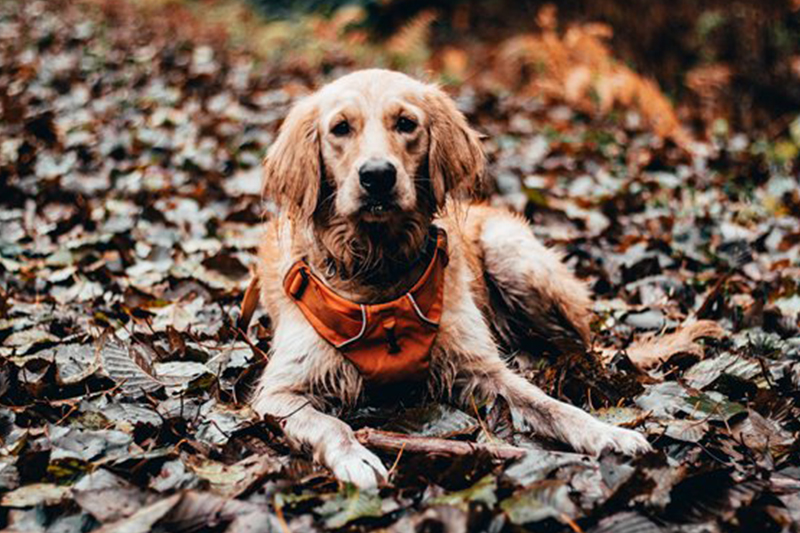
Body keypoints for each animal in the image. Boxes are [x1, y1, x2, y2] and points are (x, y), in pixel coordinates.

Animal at [247, 69, 652, 486]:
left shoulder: (479, 368)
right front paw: (354, 456)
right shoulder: (280, 392)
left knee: (578, 340)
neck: (379, 269)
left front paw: (606, 432)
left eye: (406, 123)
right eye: (341, 128)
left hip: (511, 255)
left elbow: (549, 404)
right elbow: (331, 424)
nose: (377, 176)